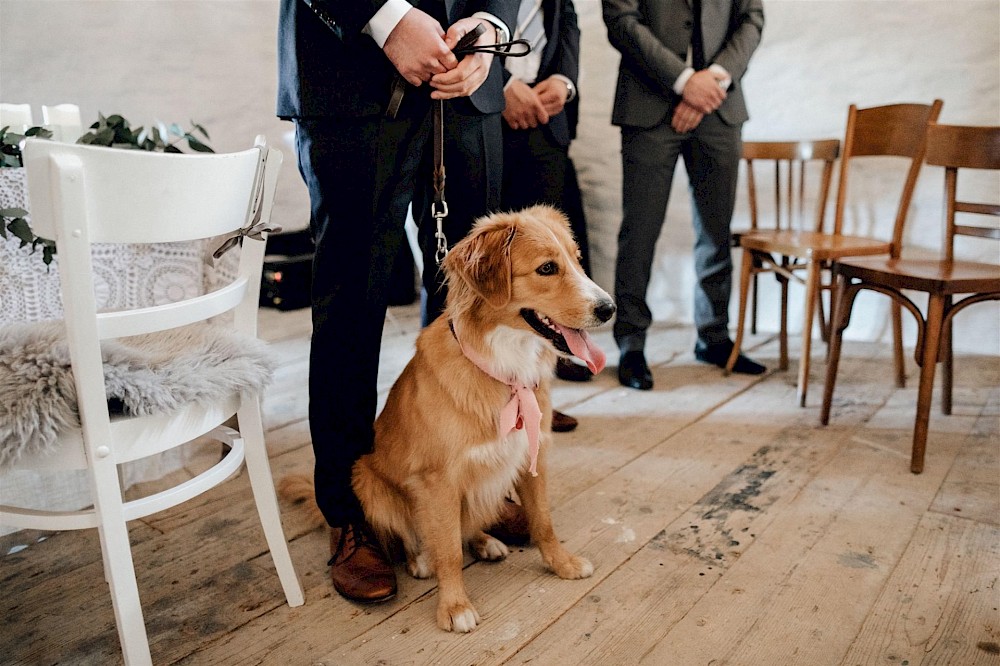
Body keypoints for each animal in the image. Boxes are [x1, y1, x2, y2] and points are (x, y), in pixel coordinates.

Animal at [278, 205, 612, 632]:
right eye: (547, 268)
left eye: (577, 260)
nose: (609, 308)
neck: (504, 367)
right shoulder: (437, 481)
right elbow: (449, 550)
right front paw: (454, 606)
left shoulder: (531, 455)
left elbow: (543, 522)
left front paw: (562, 564)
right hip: (366, 480)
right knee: (414, 535)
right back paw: (421, 559)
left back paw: (485, 540)